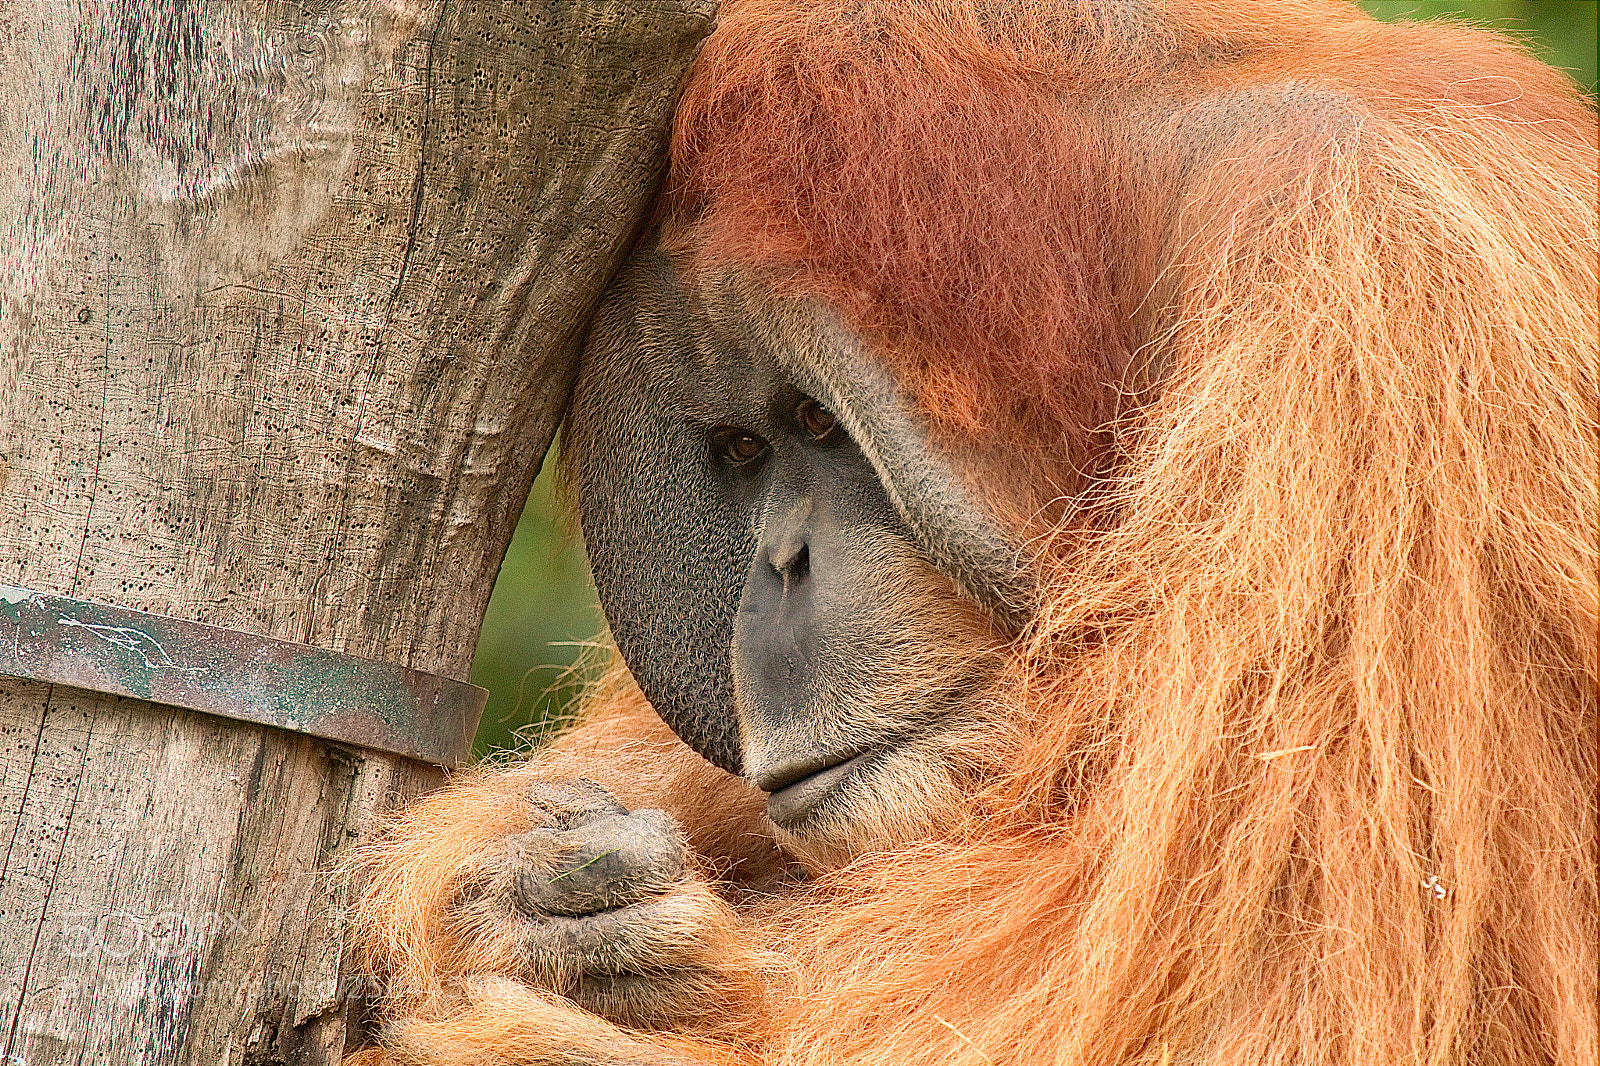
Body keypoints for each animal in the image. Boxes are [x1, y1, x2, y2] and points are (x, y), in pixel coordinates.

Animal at [347, 3, 1598, 1064]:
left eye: (814, 421)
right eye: (742, 450)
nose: (778, 568)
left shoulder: (1381, 329)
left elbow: (1290, 1001)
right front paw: (520, 897)